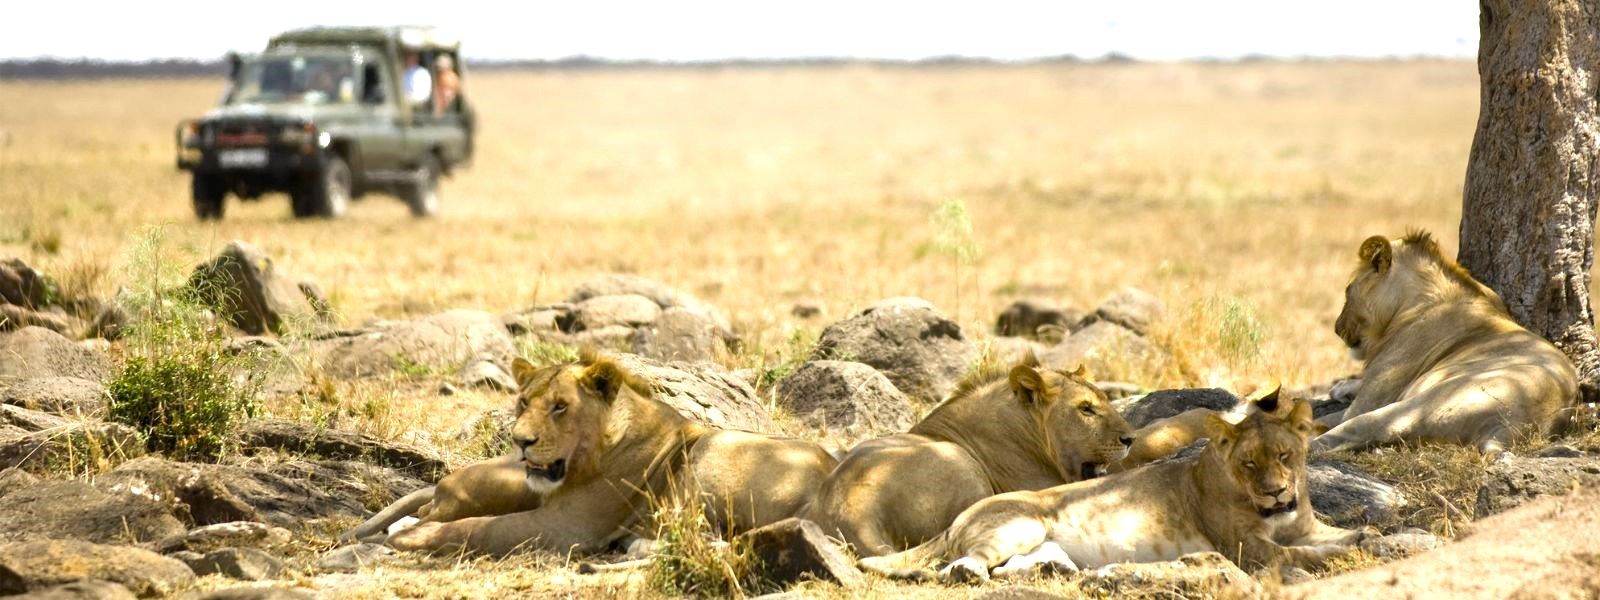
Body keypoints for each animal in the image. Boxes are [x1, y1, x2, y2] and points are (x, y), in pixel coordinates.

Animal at [379, 352, 838, 560]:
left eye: (560, 407)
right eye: (523, 402)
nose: (519, 441)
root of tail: (832, 472)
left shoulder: (566, 527)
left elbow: (479, 528)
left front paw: (411, 536)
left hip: (710, 453)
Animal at [864, 387, 1363, 585]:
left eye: (1285, 457)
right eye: (1249, 462)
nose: (1277, 491)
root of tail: (956, 519)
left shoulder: (1304, 525)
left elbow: (1334, 535)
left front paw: (1366, 536)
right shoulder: (1247, 548)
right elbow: (1298, 556)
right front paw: (1346, 551)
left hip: (1038, 541)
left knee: (1011, 566)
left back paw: (1055, 571)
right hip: (1020, 524)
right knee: (960, 565)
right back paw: (968, 572)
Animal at [1312, 232, 1587, 454]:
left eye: (1347, 290)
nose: (1336, 327)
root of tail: (1507, 429)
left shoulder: (1373, 397)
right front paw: (1341, 387)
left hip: (1419, 404)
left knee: (1357, 429)